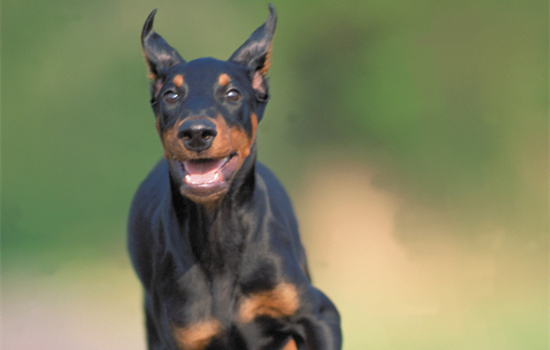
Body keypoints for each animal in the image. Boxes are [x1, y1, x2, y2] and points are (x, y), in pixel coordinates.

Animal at [129, 4, 342, 350]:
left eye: (232, 94)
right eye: (171, 95)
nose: (196, 133)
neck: (219, 234)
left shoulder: (320, 316)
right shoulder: (184, 334)